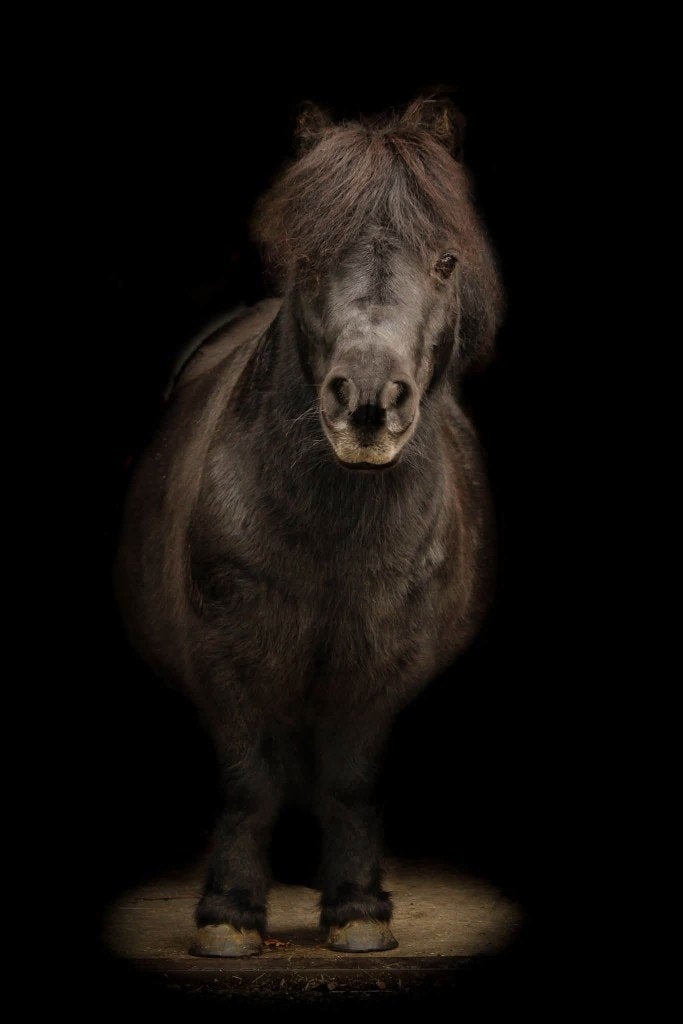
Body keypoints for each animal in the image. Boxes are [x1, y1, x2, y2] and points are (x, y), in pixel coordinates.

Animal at [116, 95, 504, 957]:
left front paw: (357, 912)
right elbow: (248, 782)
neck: (337, 530)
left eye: (445, 261)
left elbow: (350, 781)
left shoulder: (379, 665)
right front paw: (228, 918)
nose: (365, 400)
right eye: (310, 258)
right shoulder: (229, 656)